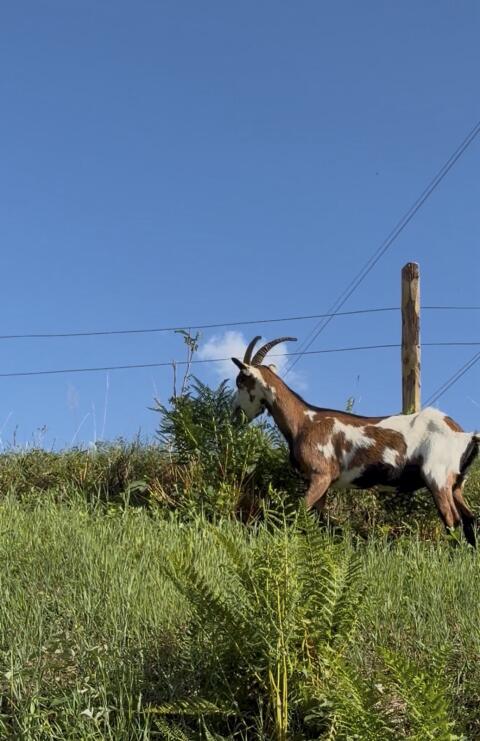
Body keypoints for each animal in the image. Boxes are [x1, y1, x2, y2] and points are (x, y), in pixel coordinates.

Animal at [232, 336, 479, 546]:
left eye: (241, 381)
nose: (236, 414)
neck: (304, 421)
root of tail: (462, 433)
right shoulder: (323, 483)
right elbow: (317, 520)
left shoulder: (320, 475)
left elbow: (301, 511)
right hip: (456, 483)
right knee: (469, 518)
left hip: (437, 477)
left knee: (453, 520)